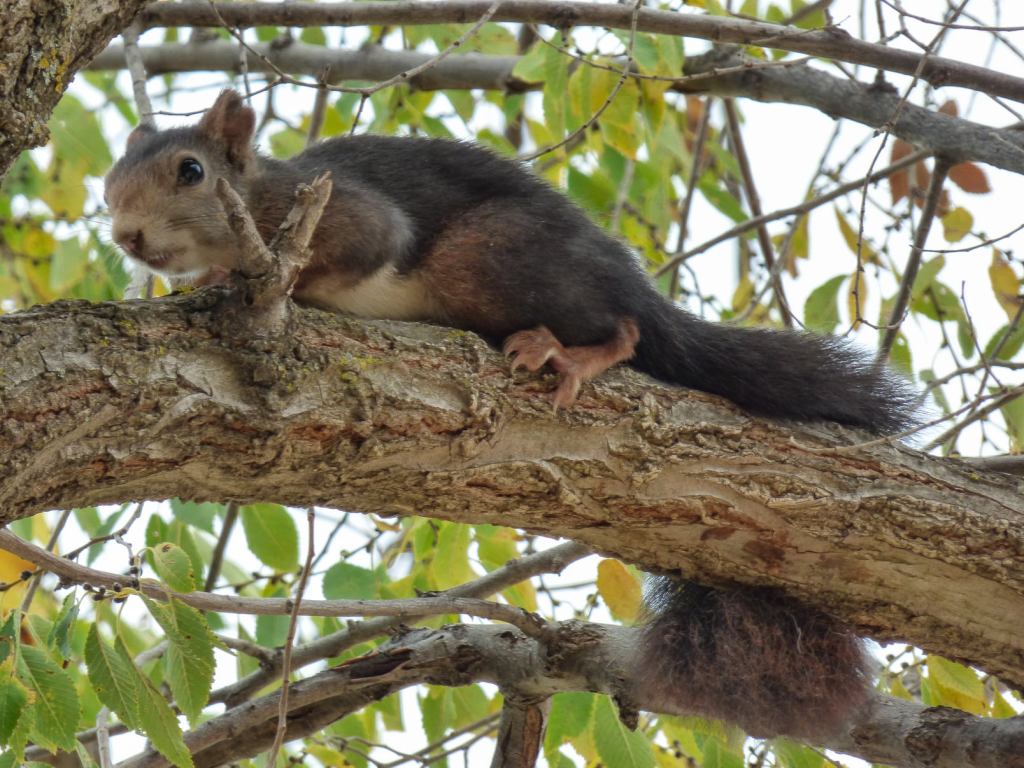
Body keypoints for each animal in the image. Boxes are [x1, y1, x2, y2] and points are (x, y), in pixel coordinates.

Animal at [105, 90, 917, 740]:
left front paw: (237, 272)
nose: (124, 237)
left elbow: (353, 250)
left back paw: (574, 352)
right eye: (113, 180)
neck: (264, 195)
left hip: (488, 258)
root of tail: (633, 282)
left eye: (190, 171)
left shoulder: (348, 214)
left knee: (629, 330)